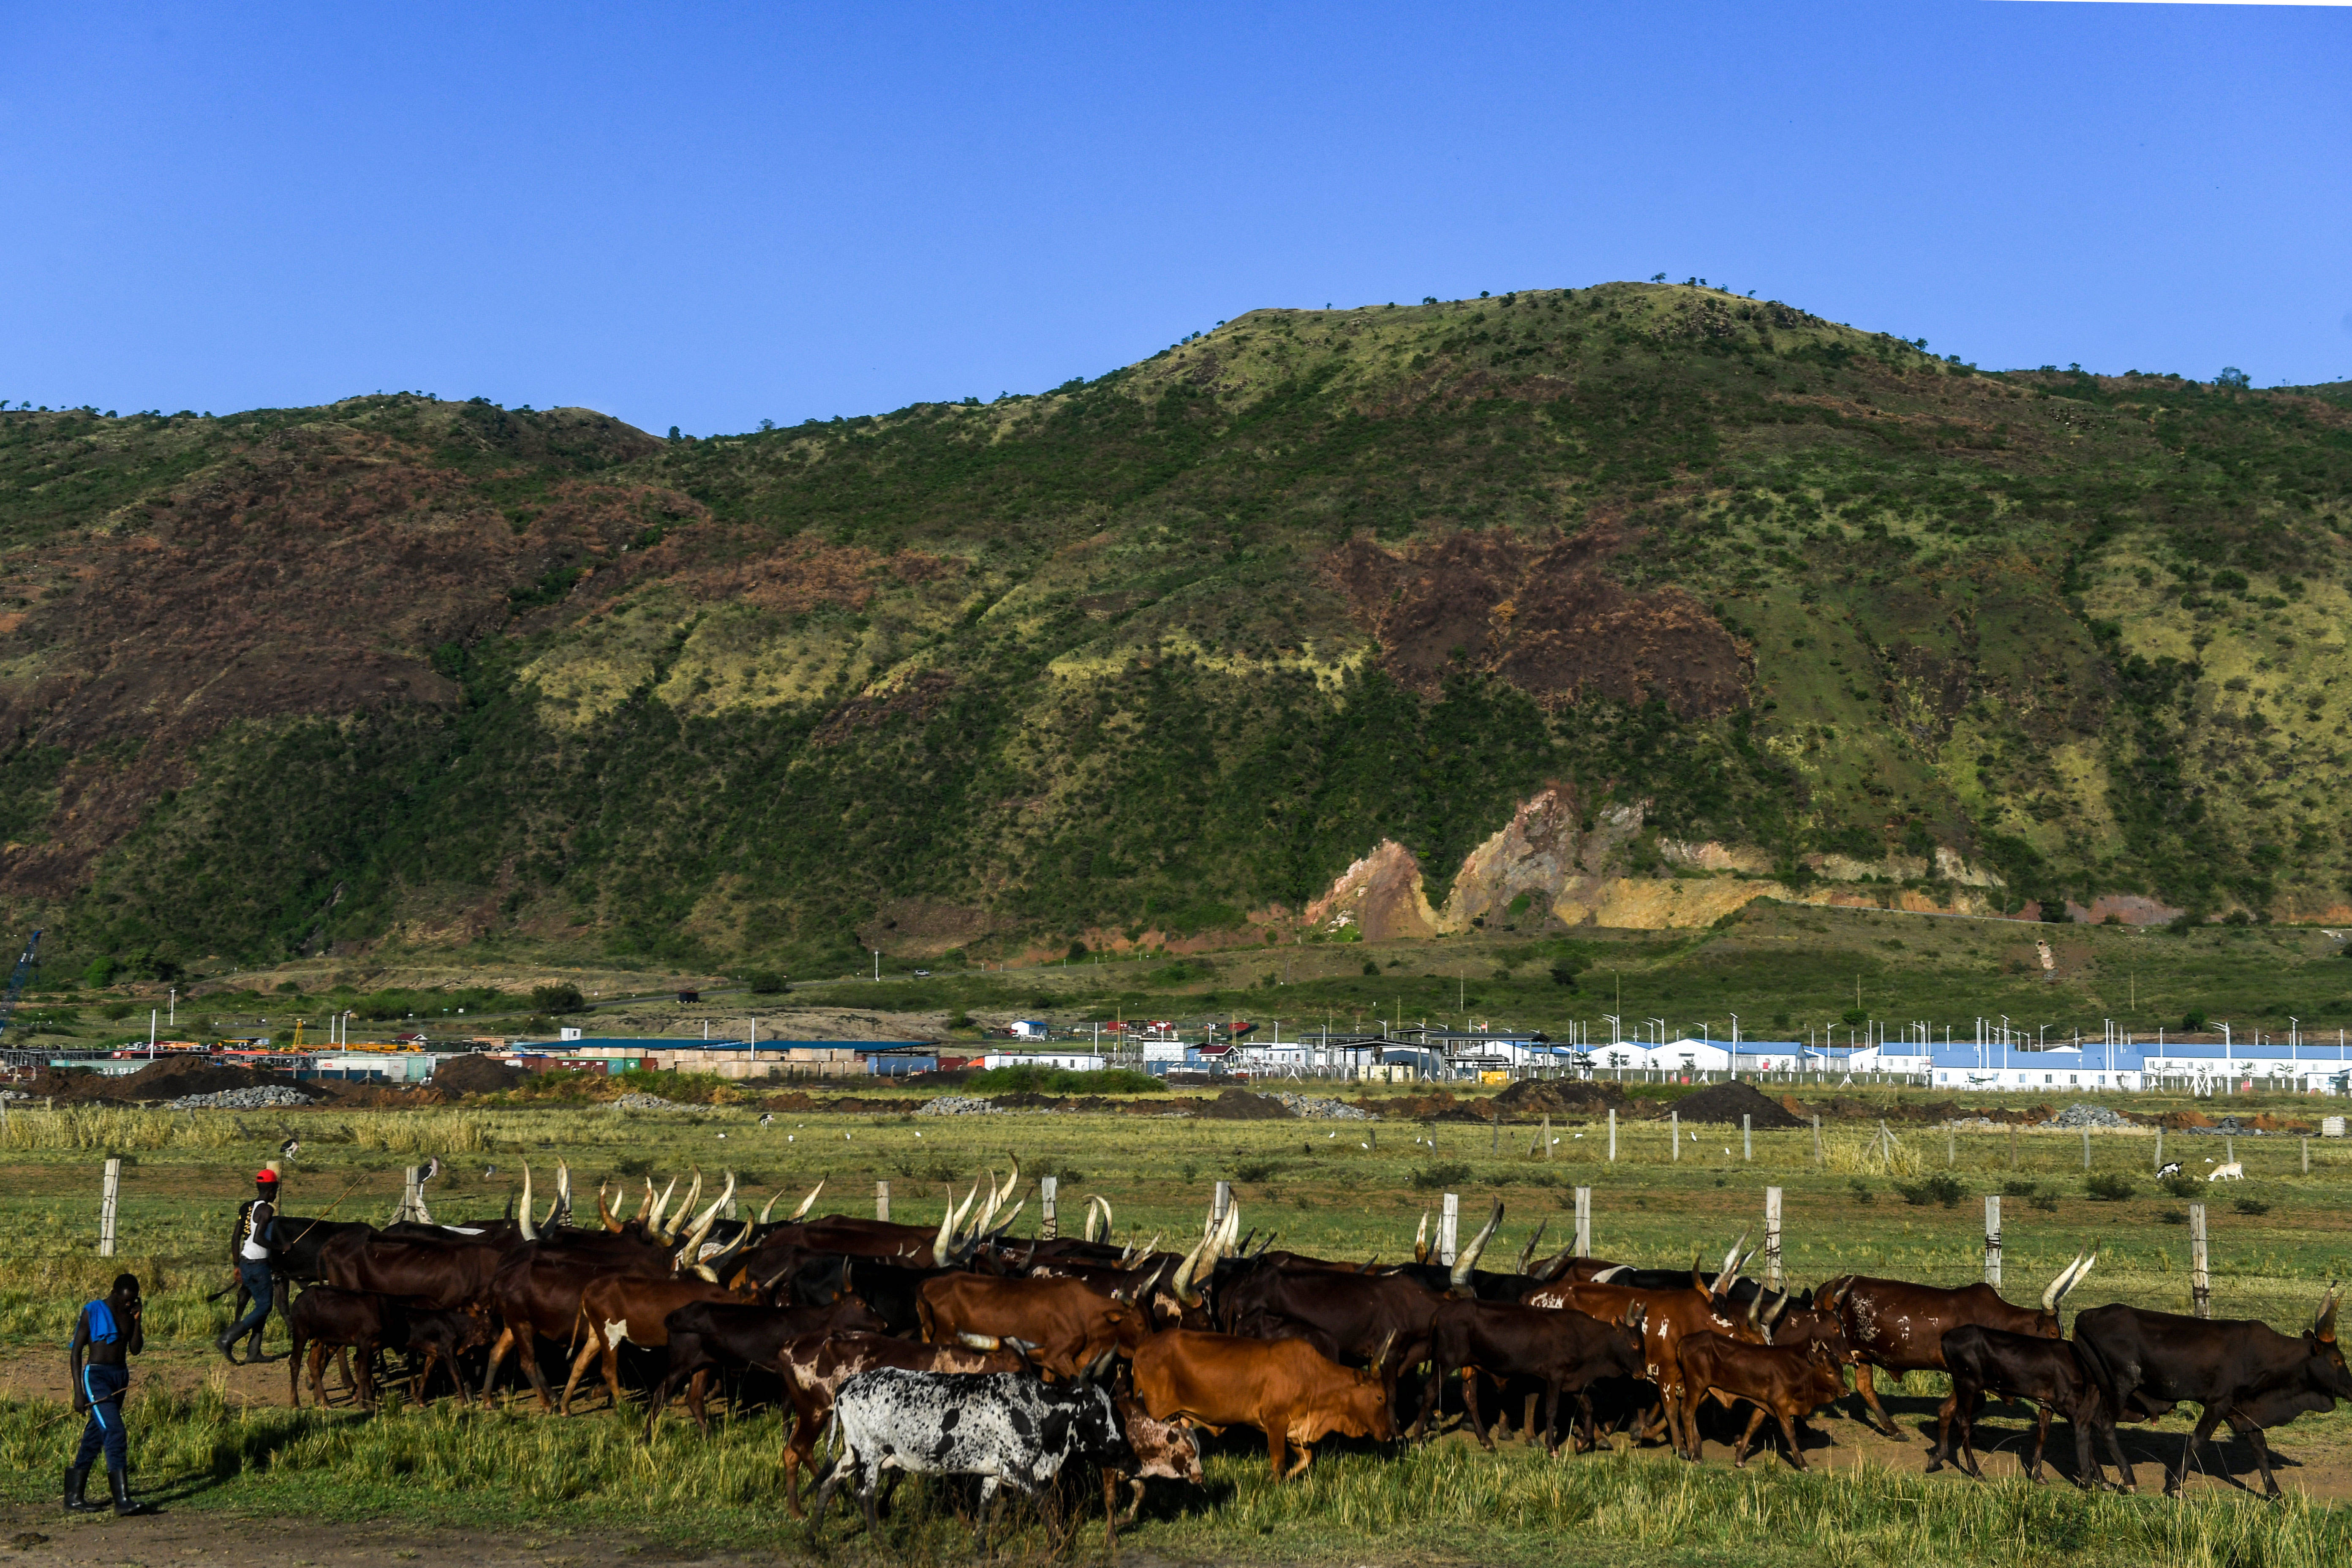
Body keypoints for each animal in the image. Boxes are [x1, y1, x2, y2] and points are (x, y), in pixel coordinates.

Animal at [814, 1363, 1133, 1552]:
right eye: (1097, 1413)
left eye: (1113, 1410)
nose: (1125, 1453)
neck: (1035, 1408)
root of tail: (848, 1384)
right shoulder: (1020, 1468)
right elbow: (1043, 1502)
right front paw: (1058, 1546)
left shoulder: (995, 1469)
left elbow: (985, 1503)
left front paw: (981, 1545)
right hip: (870, 1454)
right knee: (863, 1495)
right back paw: (884, 1547)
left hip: (853, 1454)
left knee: (828, 1483)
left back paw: (811, 1541)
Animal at [1124, 1335, 1383, 1476]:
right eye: (1381, 1397)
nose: (1390, 1434)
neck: (1312, 1376)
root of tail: (1142, 1349)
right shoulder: (1275, 1422)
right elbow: (1278, 1464)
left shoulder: (1296, 1429)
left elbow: (1306, 1460)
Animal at [1684, 1335, 1844, 1467]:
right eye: (1830, 1372)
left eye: (1841, 1370)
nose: (1846, 1390)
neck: (1797, 1369)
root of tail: (1684, 1342)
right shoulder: (1780, 1404)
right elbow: (1789, 1431)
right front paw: (1802, 1463)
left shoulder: (1765, 1404)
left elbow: (1753, 1425)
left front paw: (1740, 1458)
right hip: (1696, 1386)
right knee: (1688, 1414)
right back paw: (1694, 1455)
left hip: (1706, 1391)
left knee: (1689, 1413)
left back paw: (1697, 1450)